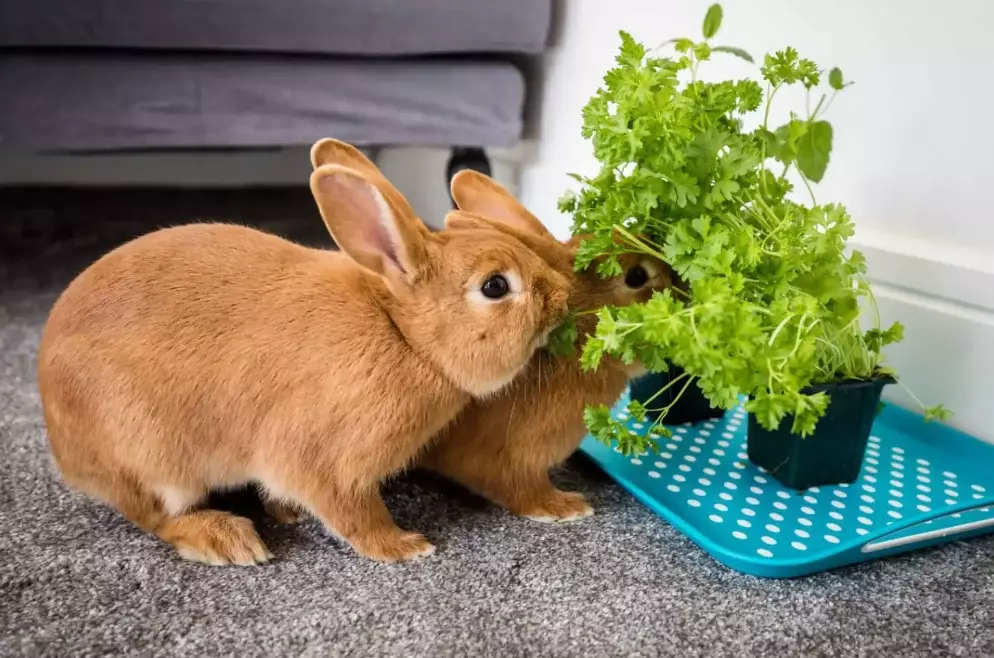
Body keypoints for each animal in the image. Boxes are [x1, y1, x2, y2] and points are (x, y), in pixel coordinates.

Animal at [37, 139, 571, 565]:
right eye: (495, 286)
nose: (563, 296)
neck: (405, 336)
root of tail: (62, 448)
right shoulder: (328, 462)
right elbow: (354, 512)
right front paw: (402, 546)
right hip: (150, 457)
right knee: (156, 516)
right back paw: (228, 540)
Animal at [416, 170, 673, 522]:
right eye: (636, 276)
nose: (686, 288)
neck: (572, 346)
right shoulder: (508, 459)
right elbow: (521, 490)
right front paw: (565, 507)